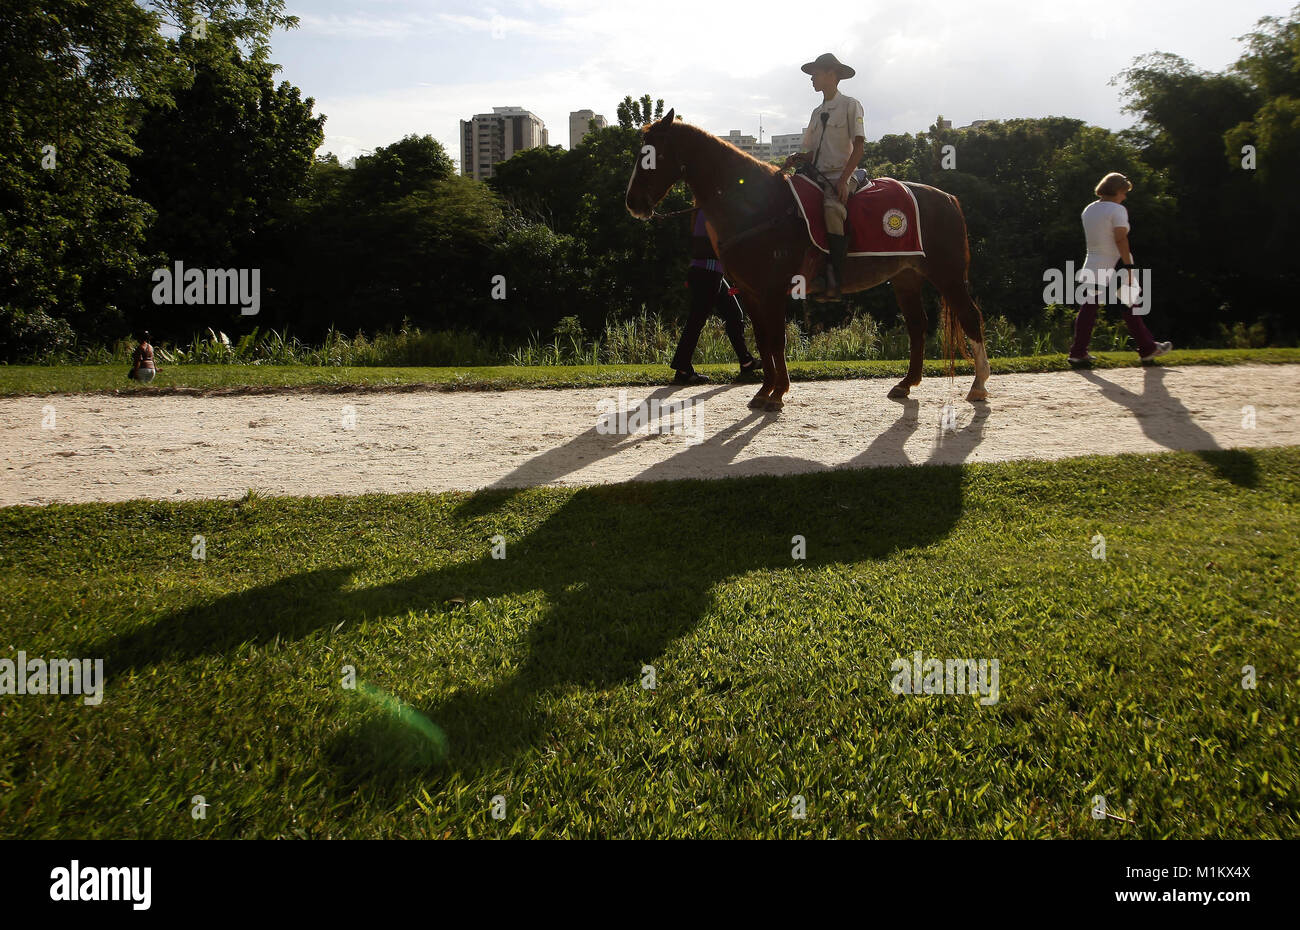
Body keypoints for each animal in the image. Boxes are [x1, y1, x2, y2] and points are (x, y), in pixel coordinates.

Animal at [624, 109, 987, 411]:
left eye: (651, 155)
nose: (632, 203)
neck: (759, 206)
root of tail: (947, 197)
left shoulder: (773, 290)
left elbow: (776, 339)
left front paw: (777, 392)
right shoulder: (751, 293)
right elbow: (762, 339)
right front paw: (765, 390)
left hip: (948, 275)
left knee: (970, 317)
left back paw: (979, 385)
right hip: (905, 277)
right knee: (917, 325)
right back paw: (907, 383)